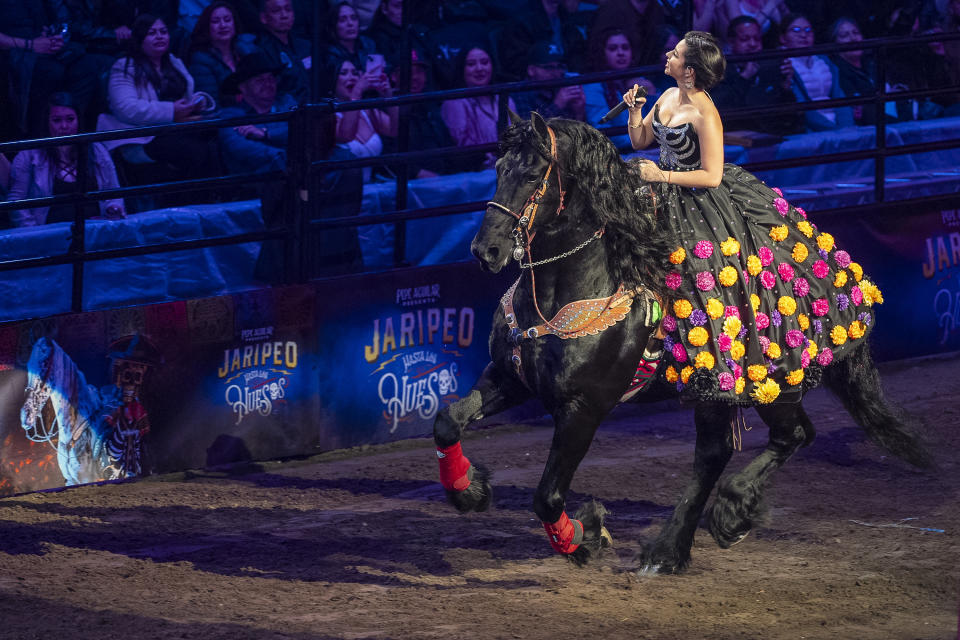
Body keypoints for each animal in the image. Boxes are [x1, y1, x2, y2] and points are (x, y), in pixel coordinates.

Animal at [436, 112, 928, 572]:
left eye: (533, 175)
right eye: (499, 168)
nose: (486, 250)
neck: (568, 289)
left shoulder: (583, 408)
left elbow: (548, 497)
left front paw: (587, 537)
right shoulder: (511, 378)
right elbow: (448, 421)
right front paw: (470, 490)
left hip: (763, 381)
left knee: (773, 440)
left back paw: (705, 528)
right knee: (735, 448)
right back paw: (696, 535)